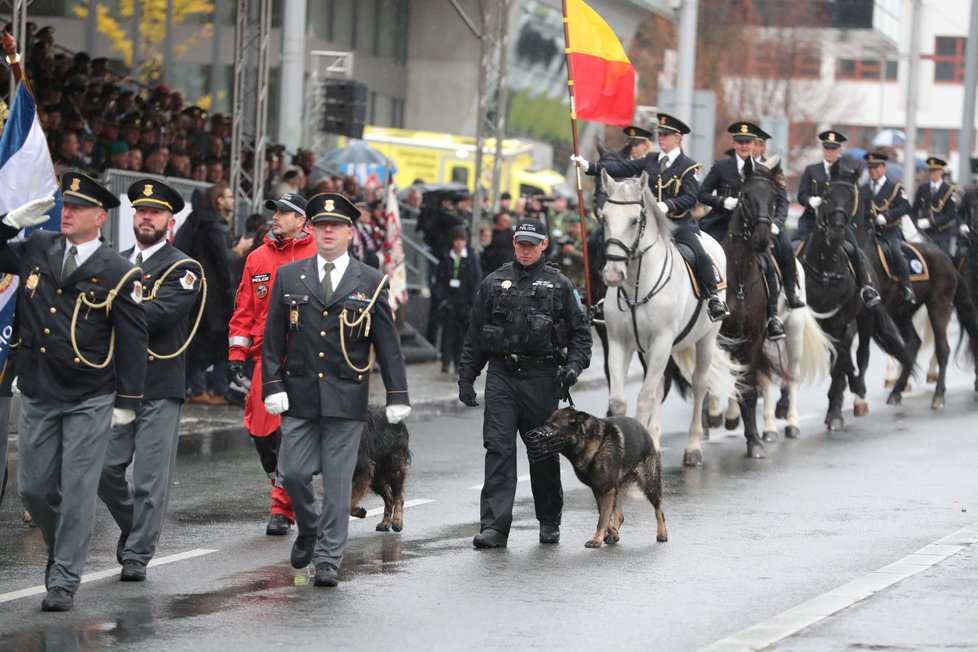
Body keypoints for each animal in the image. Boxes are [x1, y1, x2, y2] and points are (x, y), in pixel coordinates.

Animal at [348, 404, 410, 532]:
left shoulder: (363, 469)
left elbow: (349, 501)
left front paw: (359, 512)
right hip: (377, 478)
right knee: (389, 498)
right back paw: (385, 522)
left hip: (393, 468)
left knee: (398, 497)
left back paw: (397, 521)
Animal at [540, 410, 664, 548]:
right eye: (546, 424)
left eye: (553, 427)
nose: (538, 436)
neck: (591, 443)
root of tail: (643, 428)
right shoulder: (599, 490)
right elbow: (604, 514)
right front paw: (612, 533)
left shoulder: (607, 490)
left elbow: (603, 518)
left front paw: (596, 540)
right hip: (618, 489)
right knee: (620, 516)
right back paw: (612, 535)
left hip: (649, 483)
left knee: (659, 509)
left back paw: (662, 534)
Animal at [596, 171, 740, 466]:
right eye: (604, 217)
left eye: (635, 220)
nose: (613, 274)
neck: (637, 285)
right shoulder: (619, 343)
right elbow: (619, 400)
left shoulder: (662, 342)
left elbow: (644, 397)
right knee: (661, 385)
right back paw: (656, 441)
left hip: (705, 340)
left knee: (698, 385)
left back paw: (693, 448)